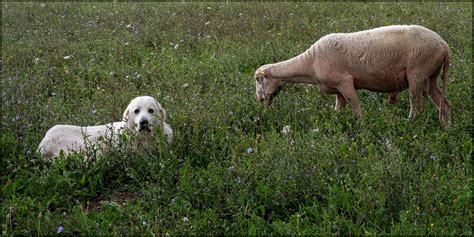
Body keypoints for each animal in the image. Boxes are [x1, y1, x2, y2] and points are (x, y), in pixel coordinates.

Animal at [256, 24, 452, 127]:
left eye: (258, 80)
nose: (259, 100)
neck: (309, 64)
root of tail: (443, 44)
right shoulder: (337, 90)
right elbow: (339, 109)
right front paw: (335, 125)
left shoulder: (345, 82)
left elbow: (356, 108)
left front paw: (362, 129)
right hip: (430, 76)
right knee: (444, 103)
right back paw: (446, 128)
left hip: (417, 73)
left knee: (417, 105)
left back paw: (408, 126)